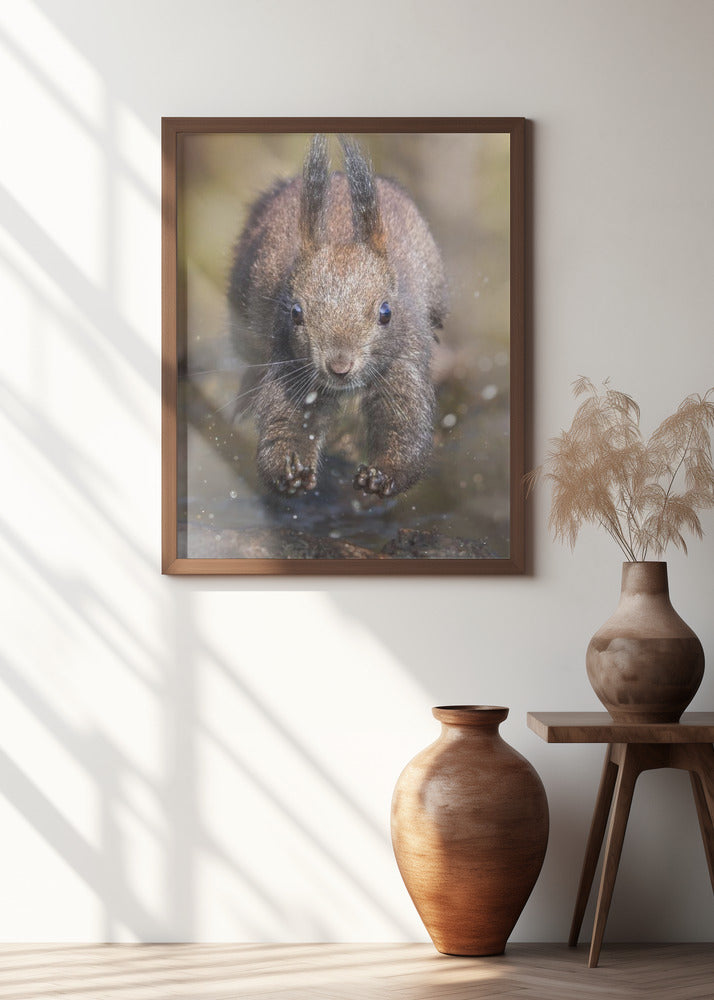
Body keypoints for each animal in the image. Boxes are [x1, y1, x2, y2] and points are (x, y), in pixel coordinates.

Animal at [227, 134, 448, 498]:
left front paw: (381, 475)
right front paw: (290, 472)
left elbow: (405, 425)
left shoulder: (403, 359)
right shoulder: (290, 364)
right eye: (296, 313)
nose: (339, 367)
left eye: (386, 313)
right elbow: (286, 421)